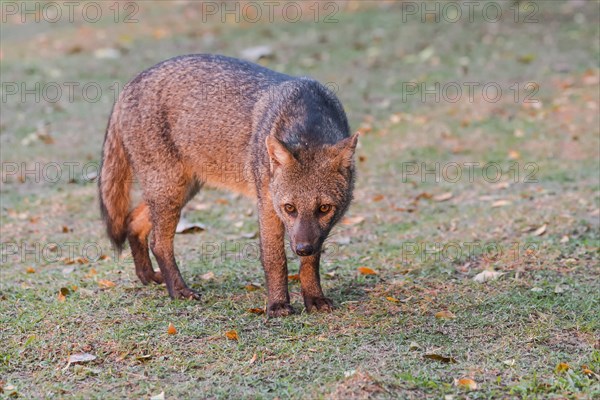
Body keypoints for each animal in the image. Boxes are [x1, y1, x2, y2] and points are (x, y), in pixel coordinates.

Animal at [99, 53, 356, 318]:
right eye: (290, 208)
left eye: (324, 209)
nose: (303, 248)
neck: (307, 121)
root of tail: (131, 83)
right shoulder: (268, 206)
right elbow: (275, 259)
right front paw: (277, 305)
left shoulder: (311, 234)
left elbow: (311, 264)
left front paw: (314, 298)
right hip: (169, 192)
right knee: (158, 243)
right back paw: (179, 290)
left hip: (180, 191)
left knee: (133, 222)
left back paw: (147, 277)